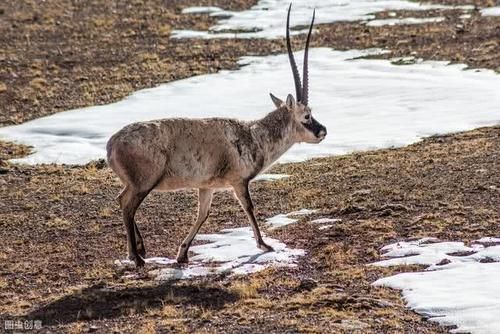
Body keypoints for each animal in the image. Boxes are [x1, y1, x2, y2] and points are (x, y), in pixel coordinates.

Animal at [106, 4, 324, 266]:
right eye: (306, 116)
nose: (322, 131)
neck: (254, 136)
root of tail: (112, 144)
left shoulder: (206, 187)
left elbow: (203, 214)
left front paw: (182, 254)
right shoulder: (239, 182)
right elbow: (249, 207)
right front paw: (264, 245)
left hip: (136, 184)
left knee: (121, 199)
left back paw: (139, 249)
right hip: (144, 183)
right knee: (128, 206)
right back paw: (137, 258)